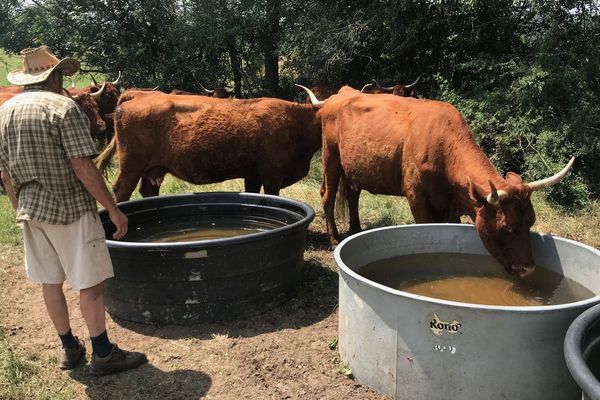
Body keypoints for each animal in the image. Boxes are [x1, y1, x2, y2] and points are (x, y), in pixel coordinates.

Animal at [97, 92, 324, 202]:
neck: (296, 121)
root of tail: (138, 96)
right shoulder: (272, 176)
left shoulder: (253, 175)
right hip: (131, 168)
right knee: (121, 191)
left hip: (152, 169)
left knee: (148, 190)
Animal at [298, 85, 572, 276]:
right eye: (506, 227)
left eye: (531, 221)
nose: (528, 269)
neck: (444, 147)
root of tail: (339, 95)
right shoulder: (417, 197)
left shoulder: (451, 205)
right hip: (331, 158)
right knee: (327, 195)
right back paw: (334, 239)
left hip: (353, 167)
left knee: (353, 194)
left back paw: (355, 229)